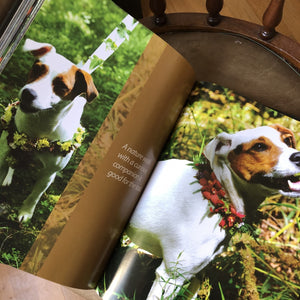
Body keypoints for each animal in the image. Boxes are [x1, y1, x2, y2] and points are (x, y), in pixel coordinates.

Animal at [0, 38, 98, 221]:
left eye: (61, 86)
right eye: (37, 69)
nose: (28, 93)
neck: (40, 126)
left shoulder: (49, 174)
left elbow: (35, 195)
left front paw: (26, 212)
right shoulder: (3, 152)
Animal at [123, 123, 298, 298]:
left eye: (287, 141)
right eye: (259, 146)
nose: (298, 156)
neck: (215, 201)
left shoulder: (197, 273)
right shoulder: (170, 276)